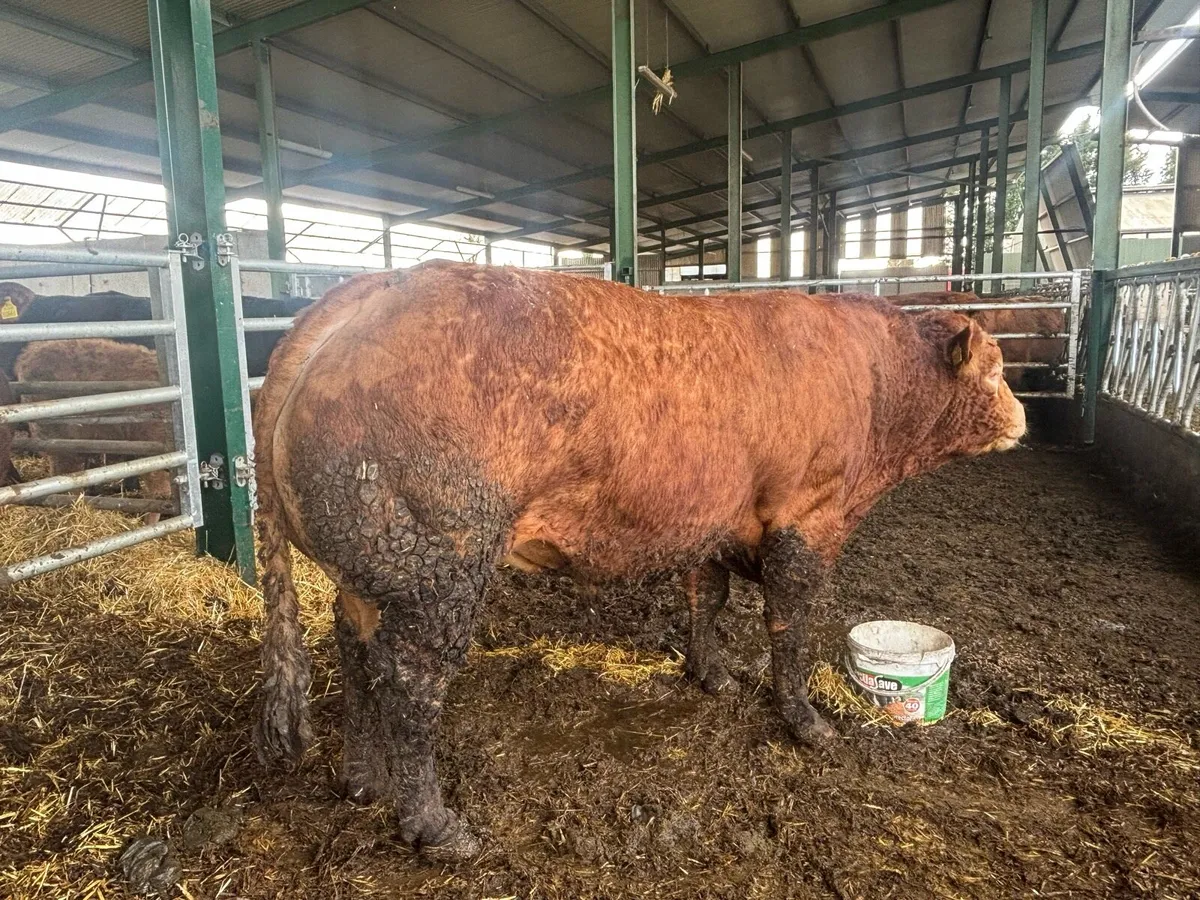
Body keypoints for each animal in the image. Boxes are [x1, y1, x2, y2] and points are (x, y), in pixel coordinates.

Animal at [251, 261, 1026, 858]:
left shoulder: (712, 521)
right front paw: (807, 722)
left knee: (354, 650)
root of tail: (372, 293)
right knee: (411, 680)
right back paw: (435, 825)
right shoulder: (808, 521)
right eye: (993, 374)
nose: (1022, 417)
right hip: (442, 561)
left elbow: (706, 599)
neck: (875, 384)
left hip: (371, 570)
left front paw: (713, 676)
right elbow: (792, 629)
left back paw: (363, 778)